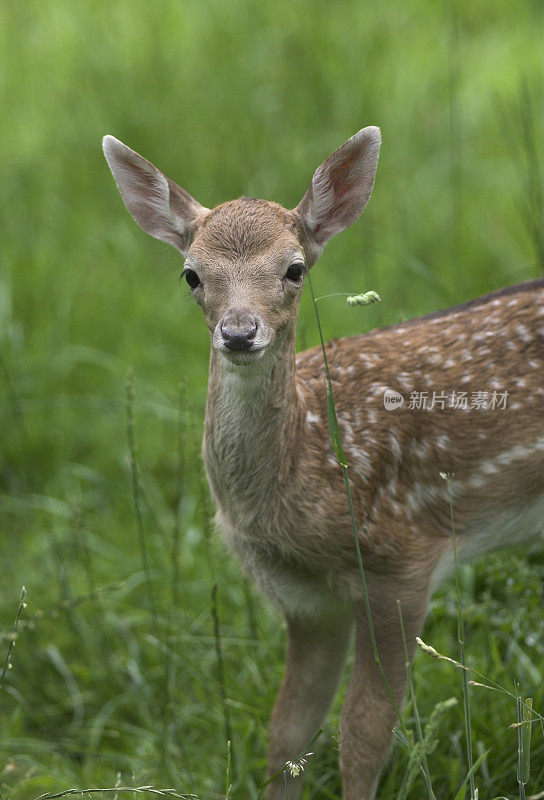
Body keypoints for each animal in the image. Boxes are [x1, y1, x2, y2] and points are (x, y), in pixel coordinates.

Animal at [103, 128, 544, 796]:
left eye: (295, 268)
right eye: (191, 275)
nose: (239, 332)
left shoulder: (401, 564)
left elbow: (361, 736)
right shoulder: (303, 601)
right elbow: (286, 735)